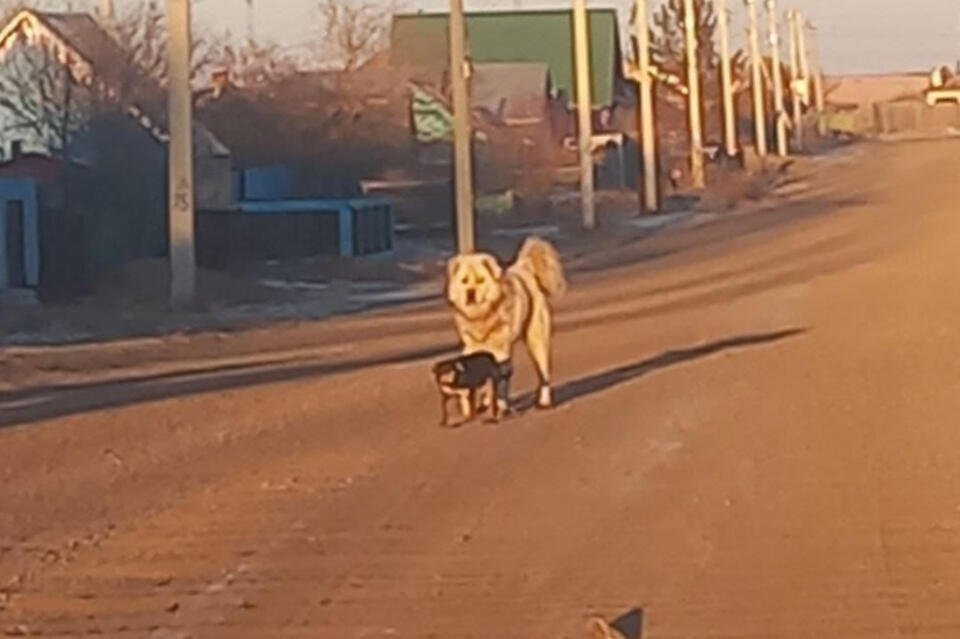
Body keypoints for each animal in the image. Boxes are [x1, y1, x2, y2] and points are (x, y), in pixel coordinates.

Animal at [446, 238, 568, 412]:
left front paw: (500, 404)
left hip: (537, 341)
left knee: (544, 374)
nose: (470, 293)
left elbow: (499, 383)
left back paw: (544, 402)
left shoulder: (500, 351)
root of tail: (523, 268)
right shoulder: (473, 348)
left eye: (480, 280)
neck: (483, 315)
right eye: (464, 281)